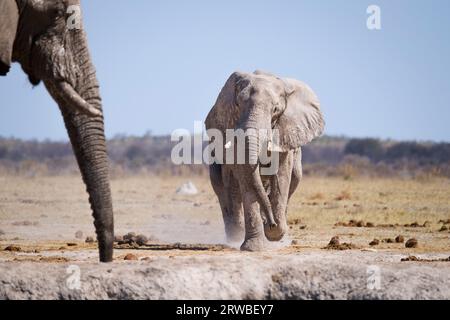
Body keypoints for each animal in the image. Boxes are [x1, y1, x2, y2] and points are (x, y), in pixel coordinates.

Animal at [206, 71, 326, 251]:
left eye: (276, 110)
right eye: (238, 105)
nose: (271, 223)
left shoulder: (285, 132)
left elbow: (282, 174)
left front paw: (274, 232)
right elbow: (245, 177)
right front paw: (255, 247)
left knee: (294, 178)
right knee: (225, 187)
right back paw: (235, 237)